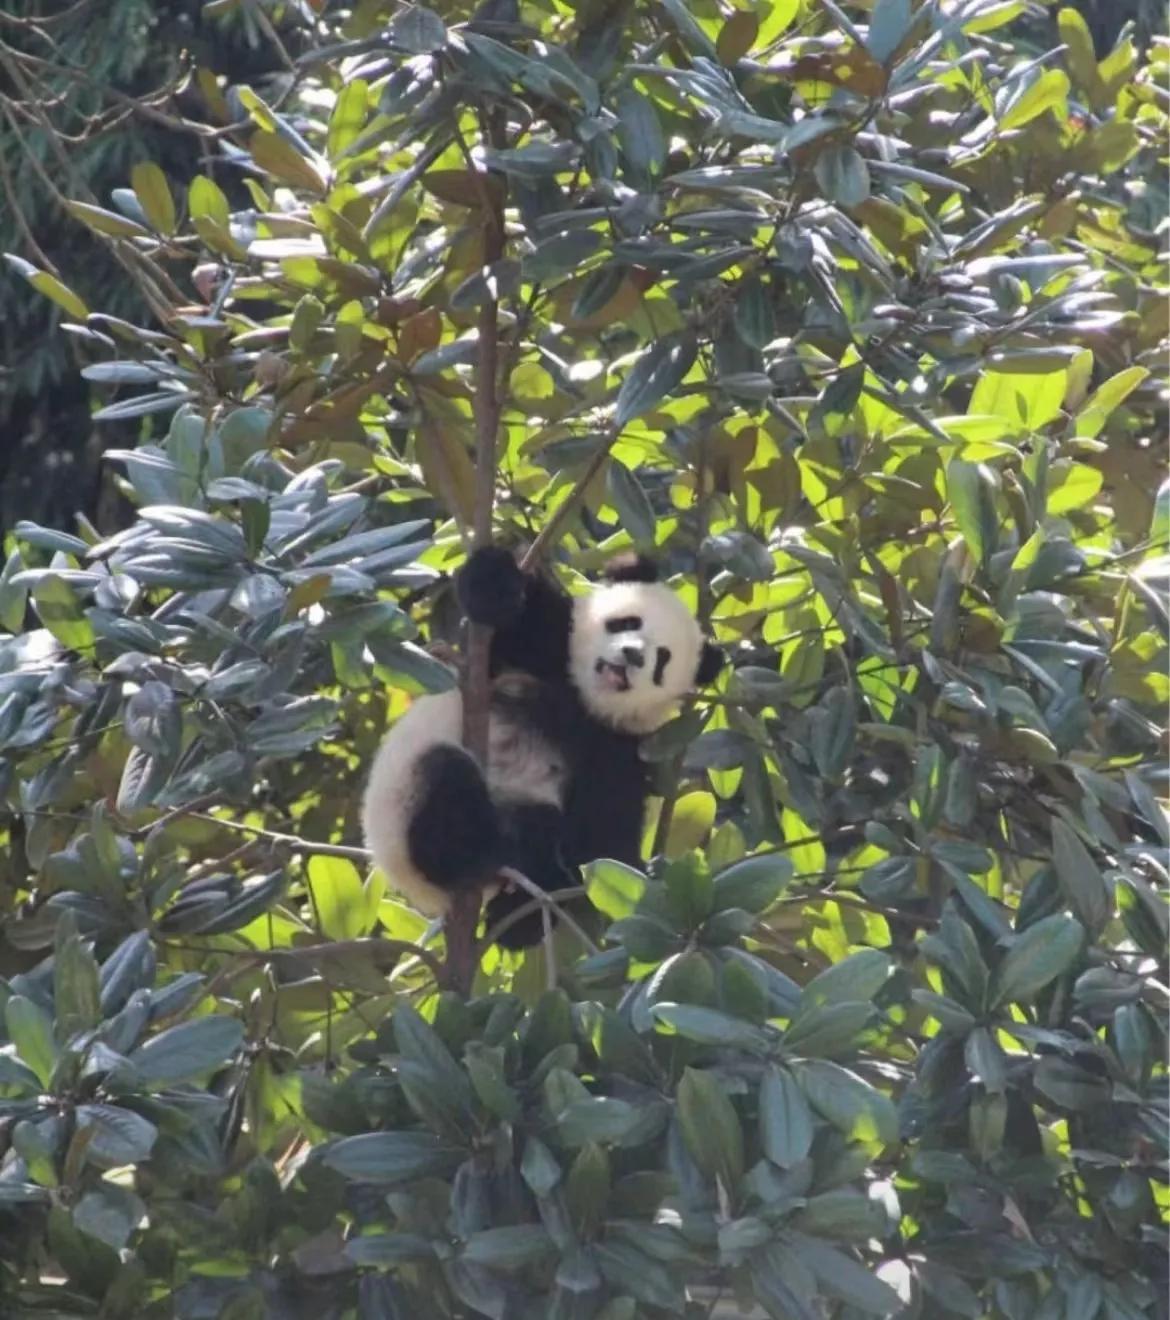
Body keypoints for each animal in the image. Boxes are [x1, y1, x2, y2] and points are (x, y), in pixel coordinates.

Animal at [361, 546, 723, 950]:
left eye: (662, 660)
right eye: (627, 622)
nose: (632, 656)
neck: (581, 700)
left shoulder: (615, 749)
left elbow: (604, 836)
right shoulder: (530, 660)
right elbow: (508, 630)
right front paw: (496, 584)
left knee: (535, 823)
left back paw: (519, 908)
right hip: (399, 804)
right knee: (445, 780)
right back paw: (485, 855)